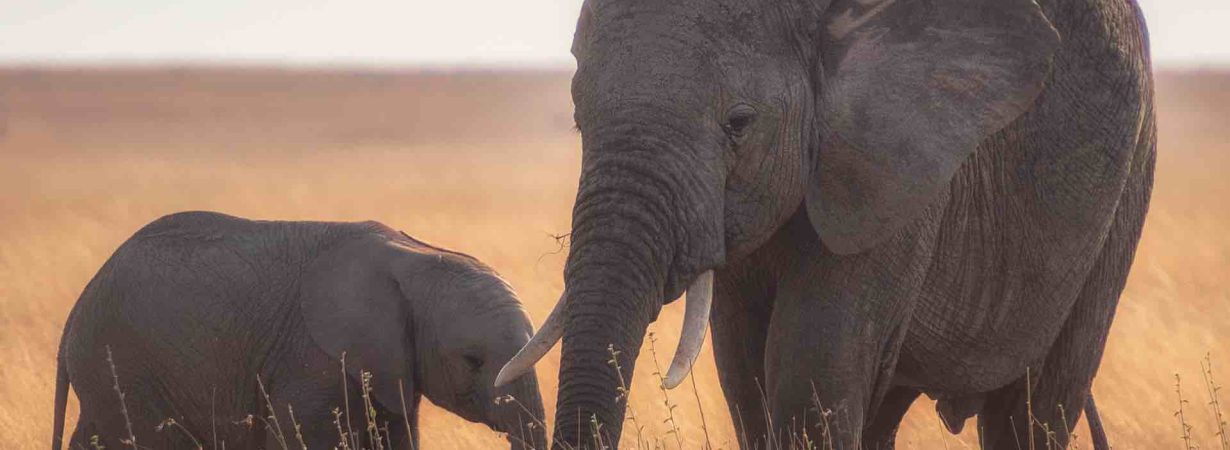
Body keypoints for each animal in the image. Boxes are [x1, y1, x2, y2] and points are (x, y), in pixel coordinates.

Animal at [494, 0, 1146, 447]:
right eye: (579, 116)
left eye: (739, 122)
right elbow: (747, 380)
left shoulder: (896, 163)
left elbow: (808, 376)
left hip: (1125, 193)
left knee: (1034, 411)